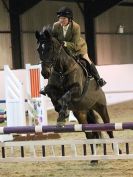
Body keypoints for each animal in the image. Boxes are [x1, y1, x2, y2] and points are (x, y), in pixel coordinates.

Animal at [34, 26, 121, 163]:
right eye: (38, 49)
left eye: (49, 48)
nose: (45, 73)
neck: (62, 70)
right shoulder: (51, 88)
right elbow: (51, 93)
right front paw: (60, 111)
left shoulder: (77, 89)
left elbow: (65, 96)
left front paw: (62, 115)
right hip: (81, 114)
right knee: (89, 135)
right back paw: (94, 159)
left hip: (101, 107)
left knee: (109, 129)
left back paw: (118, 151)